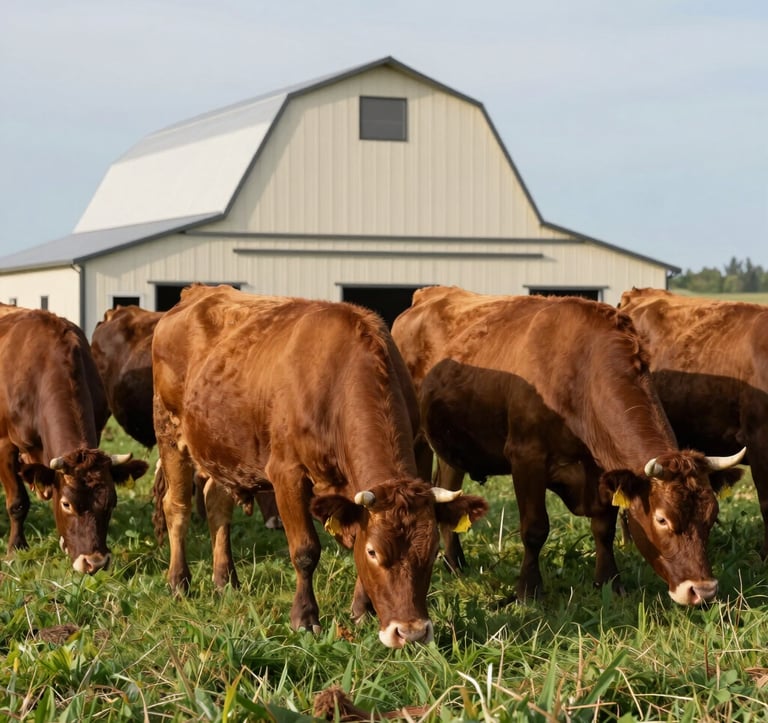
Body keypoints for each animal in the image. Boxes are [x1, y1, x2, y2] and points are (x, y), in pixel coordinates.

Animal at [0, 304, 149, 572]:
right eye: (66, 504)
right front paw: (16, 547)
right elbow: (17, 502)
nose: (95, 562)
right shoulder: (5, 445)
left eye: (112, 502)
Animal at [151, 285, 488, 648]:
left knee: (216, 504)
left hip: (222, 450)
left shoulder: (416, 456)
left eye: (433, 548)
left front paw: (362, 610)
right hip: (169, 434)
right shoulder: (286, 474)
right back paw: (179, 581)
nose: (410, 632)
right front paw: (305, 618)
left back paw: (225, 581)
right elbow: (305, 550)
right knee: (177, 507)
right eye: (374, 553)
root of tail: (198, 292)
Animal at [392, 286, 745, 605]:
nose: (703, 590)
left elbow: (604, 527)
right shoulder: (527, 457)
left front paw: (609, 582)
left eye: (712, 515)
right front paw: (528, 591)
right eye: (662, 519)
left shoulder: (602, 471)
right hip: (418, 442)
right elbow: (535, 529)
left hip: (452, 447)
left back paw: (456, 563)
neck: (579, 371)